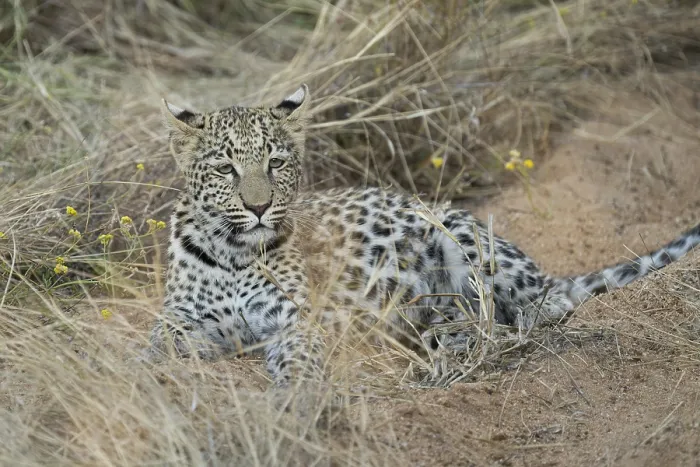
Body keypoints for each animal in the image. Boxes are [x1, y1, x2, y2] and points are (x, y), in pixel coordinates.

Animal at [147, 83, 700, 387]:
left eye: (276, 163)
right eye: (226, 168)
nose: (259, 207)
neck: (233, 252)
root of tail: (544, 276)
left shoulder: (296, 320)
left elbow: (299, 358)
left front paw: (295, 395)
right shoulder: (184, 317)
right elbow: (157, 346)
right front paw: (146, 375)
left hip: (462, 235)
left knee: (521, 317)